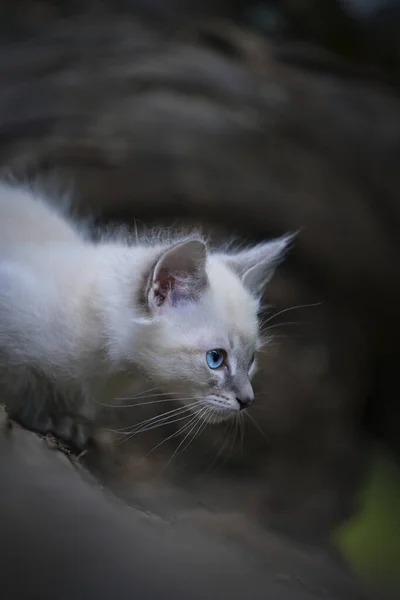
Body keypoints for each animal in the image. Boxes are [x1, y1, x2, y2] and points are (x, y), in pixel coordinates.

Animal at [0, 183, 294, 450]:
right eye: (215, 359)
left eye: (251, 360)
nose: (247, 401)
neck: (106, 365)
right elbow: (22, 382)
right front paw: (49, 417)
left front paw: (71, 421)